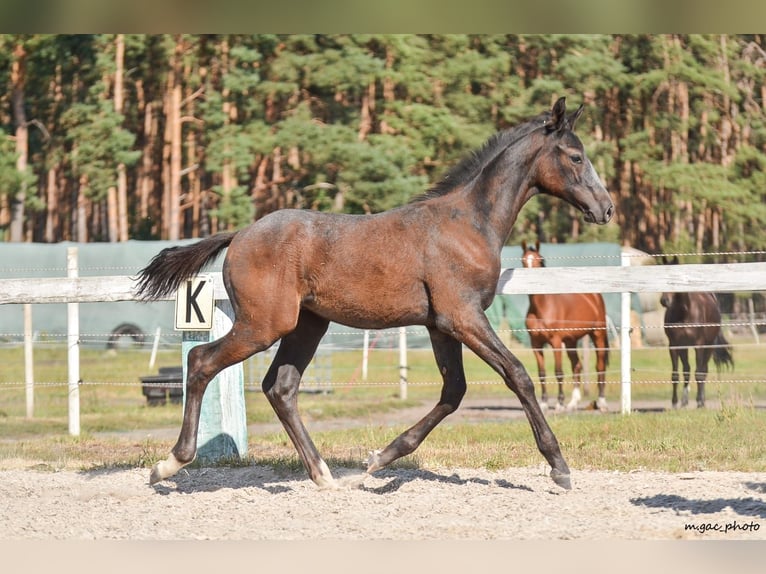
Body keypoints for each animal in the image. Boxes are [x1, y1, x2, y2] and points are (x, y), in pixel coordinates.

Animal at [520, 240, 610, 412]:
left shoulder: (556, 342)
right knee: (577, 366)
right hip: (570, 341)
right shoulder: (536, 344)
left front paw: (559, 403)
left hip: (598, 335)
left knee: (600, 365)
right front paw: (544, 403)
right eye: (523, 262)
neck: (541, 308)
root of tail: (594, 296)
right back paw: (573, 403)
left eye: (539, 261)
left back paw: (602, 402)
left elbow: (558, 372)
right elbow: (542, 373)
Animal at [660, 256, 734, 408]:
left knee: (704, 369)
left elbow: (699, 372)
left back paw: (702, 400)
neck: (684, 313)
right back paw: (685, 400)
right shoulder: (675, 345)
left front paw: (699, 401)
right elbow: (676, 374)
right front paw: (675, 402)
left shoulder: (699, 345)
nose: (664, 301)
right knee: (687, 369)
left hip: (709, 346)